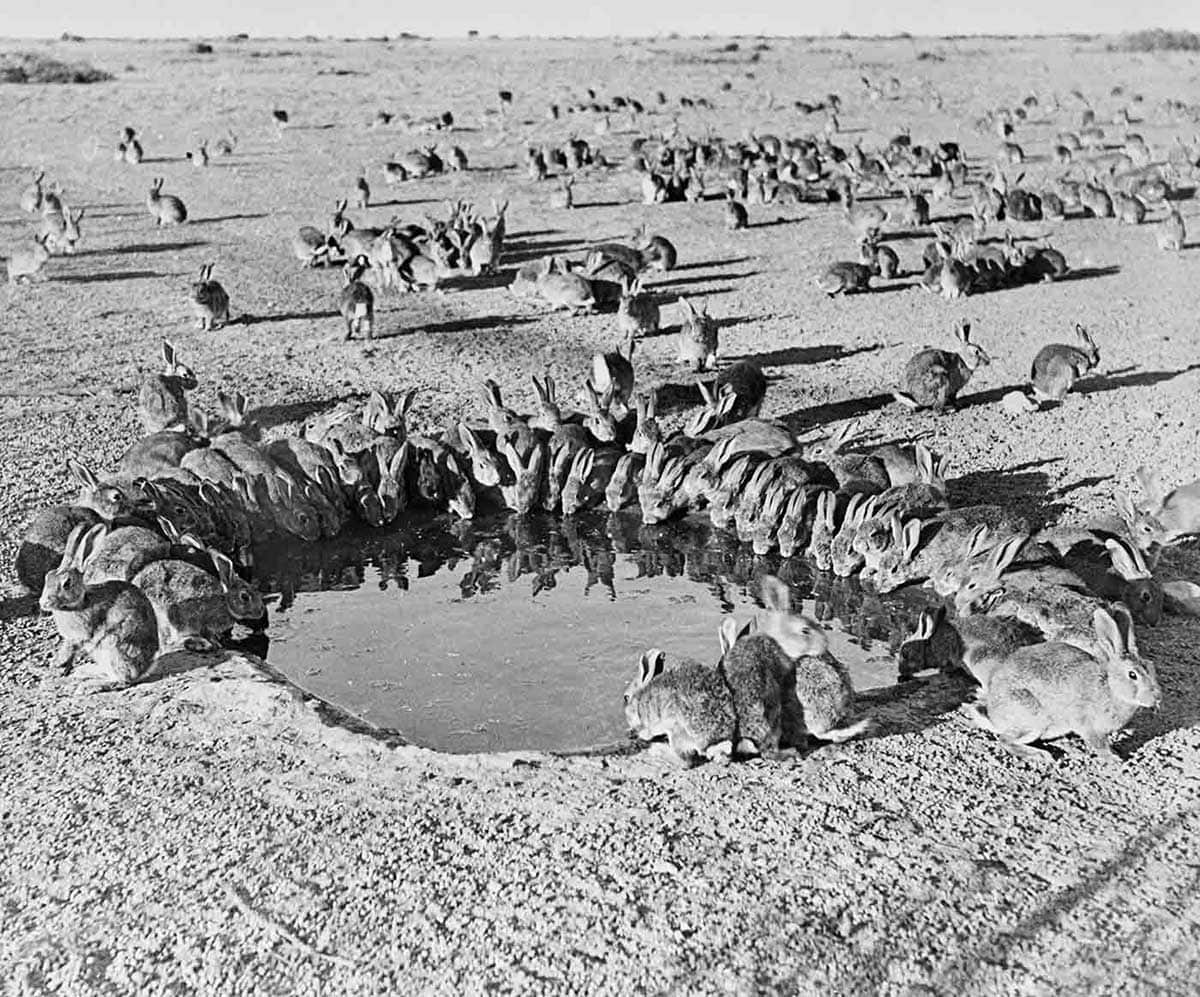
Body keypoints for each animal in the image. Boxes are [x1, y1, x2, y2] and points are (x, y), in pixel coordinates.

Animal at [39, 524, 160, 689]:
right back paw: (85, 672)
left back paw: (90, 686)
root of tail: (146, 667)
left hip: (113, 648)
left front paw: (57, 662)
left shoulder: (79, 634)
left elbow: (70, 648)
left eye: (67, 583)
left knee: (123, 680)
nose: (43, 603)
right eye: (47, 578)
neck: (80, 602)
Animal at [963, 606, 1160, 762]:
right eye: (1132, 675)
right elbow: (1099, 745)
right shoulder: (1087, 725)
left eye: (1151, 667)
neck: (1111, 688)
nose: (1156, 698)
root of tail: (993, 714)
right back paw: (1040, 755)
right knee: (1005, 739)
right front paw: (1114, 758)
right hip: (1034, 717)